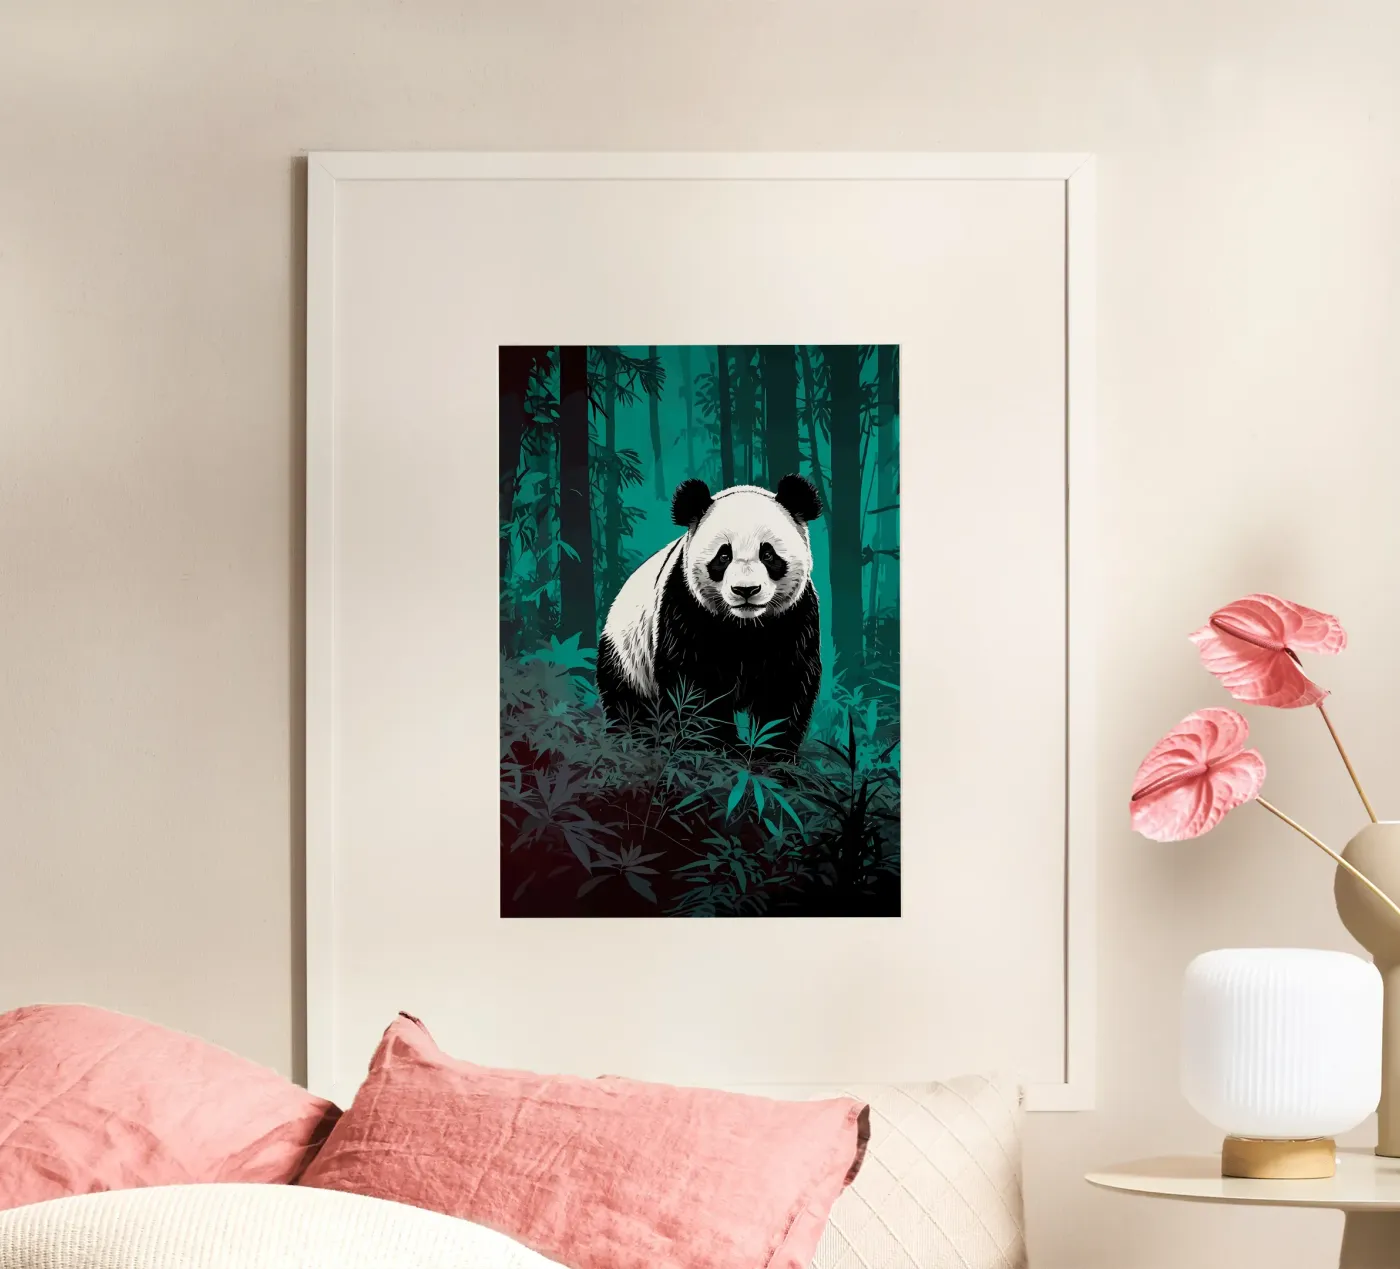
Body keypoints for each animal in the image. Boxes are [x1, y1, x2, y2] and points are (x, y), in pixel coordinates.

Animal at [596, 473, 824, 753]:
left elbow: (786, 685)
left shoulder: (793, 617)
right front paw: (721, 746)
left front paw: (769, 750)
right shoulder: (687, 608)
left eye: (768, 554)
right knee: (629, 706)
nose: (746, 590)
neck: (745, 625)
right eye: (723, 556)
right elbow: (694, 686)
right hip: (627, 658)